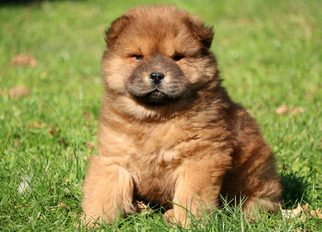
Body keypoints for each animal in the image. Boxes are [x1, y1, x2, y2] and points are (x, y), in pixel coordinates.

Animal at [82, 5, 280, 227]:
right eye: (138, 57)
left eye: (177, 57)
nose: (157, 75)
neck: (155, 119)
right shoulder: (114, 156)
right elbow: (103, 191)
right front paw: (94, 221)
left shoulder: (199, 159)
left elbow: (190, 197)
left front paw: (186, 222)